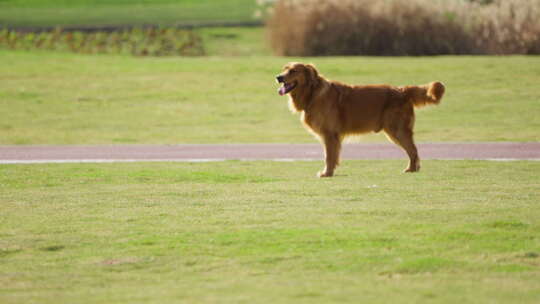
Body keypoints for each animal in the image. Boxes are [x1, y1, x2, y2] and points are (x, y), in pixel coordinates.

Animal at [276, 63, 446, 177]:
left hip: (397, 130)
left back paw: (411, 169)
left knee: (413, 150)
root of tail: (403, 90)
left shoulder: (330, 134)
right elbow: (332, 156)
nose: (278, 77)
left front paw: (327, 173)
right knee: (413, 151)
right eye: (284, 69)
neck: (312, 93)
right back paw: (413, 169)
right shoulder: (331, 136)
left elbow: (329, 156)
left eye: (293, 70)